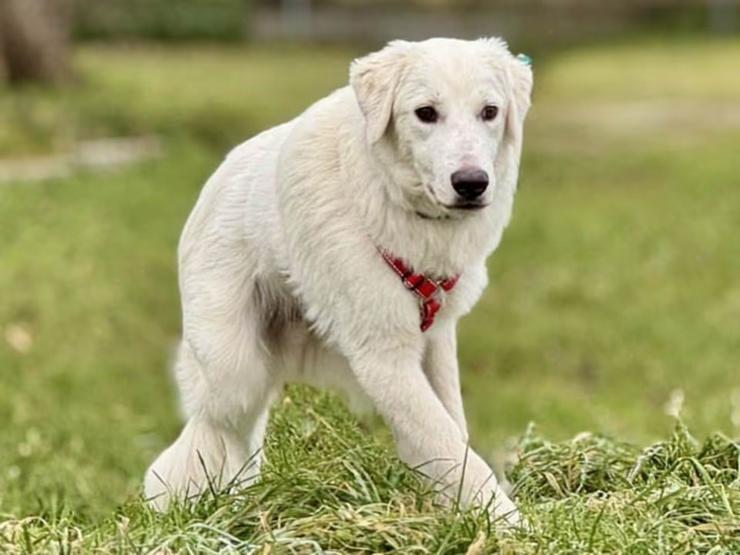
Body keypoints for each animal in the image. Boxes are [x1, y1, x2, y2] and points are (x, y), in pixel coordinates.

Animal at [146, 37, 532, 524]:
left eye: (490, 111)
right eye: (426, 112)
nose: (471, 183)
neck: (395, 204)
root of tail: (215, 181)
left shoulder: (436, 339)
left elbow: (448, 432)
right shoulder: (384, 356)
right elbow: (449, 444)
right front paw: (509, 524)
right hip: (235, 369)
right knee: (219, 432)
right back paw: (216, 507)